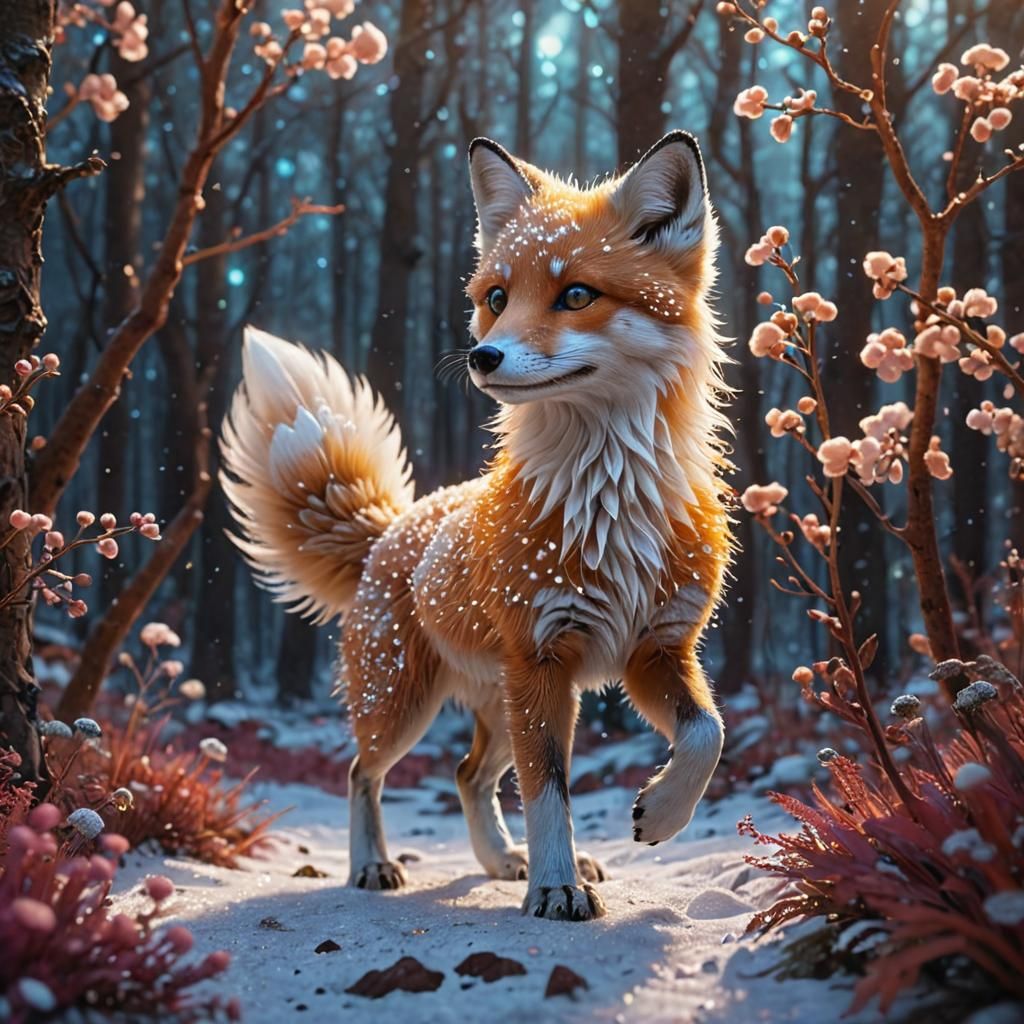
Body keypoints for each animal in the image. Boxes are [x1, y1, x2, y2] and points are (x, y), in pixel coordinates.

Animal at [220, 131, 732, 922]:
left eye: (576, 294)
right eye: (496, 298)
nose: (483, 356)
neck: (606, 503)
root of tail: (393, 528)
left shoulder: (656, 650)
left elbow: (708, 735)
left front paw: (661, 814)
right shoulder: (544, 656)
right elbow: (549, 792)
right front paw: (556, 887)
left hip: (506, 698)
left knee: (469, 774)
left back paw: (500, 861)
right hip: (410, 703)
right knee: (361, 771)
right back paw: (374, 865)